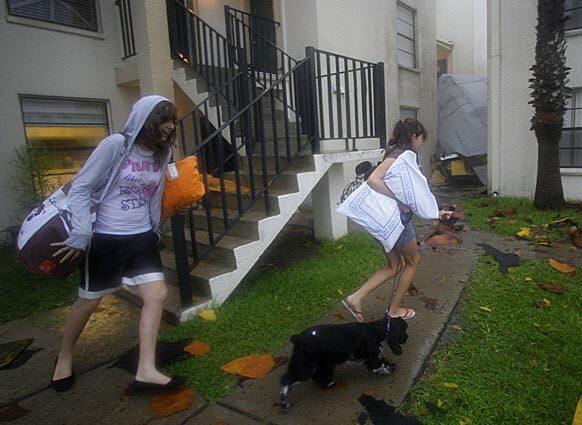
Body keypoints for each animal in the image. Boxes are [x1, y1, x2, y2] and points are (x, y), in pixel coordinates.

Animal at [280, 314, 408, 410]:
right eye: (403, 330)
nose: (406, 338)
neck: (375, 330)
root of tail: (298, 338)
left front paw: (390, 366)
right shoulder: (372, 356)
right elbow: (378, 364)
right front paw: (389, 369)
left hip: (324, 362)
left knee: (318, 375)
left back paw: (328, 383)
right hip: (304, 367)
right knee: (286, 380)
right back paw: (284, 403)